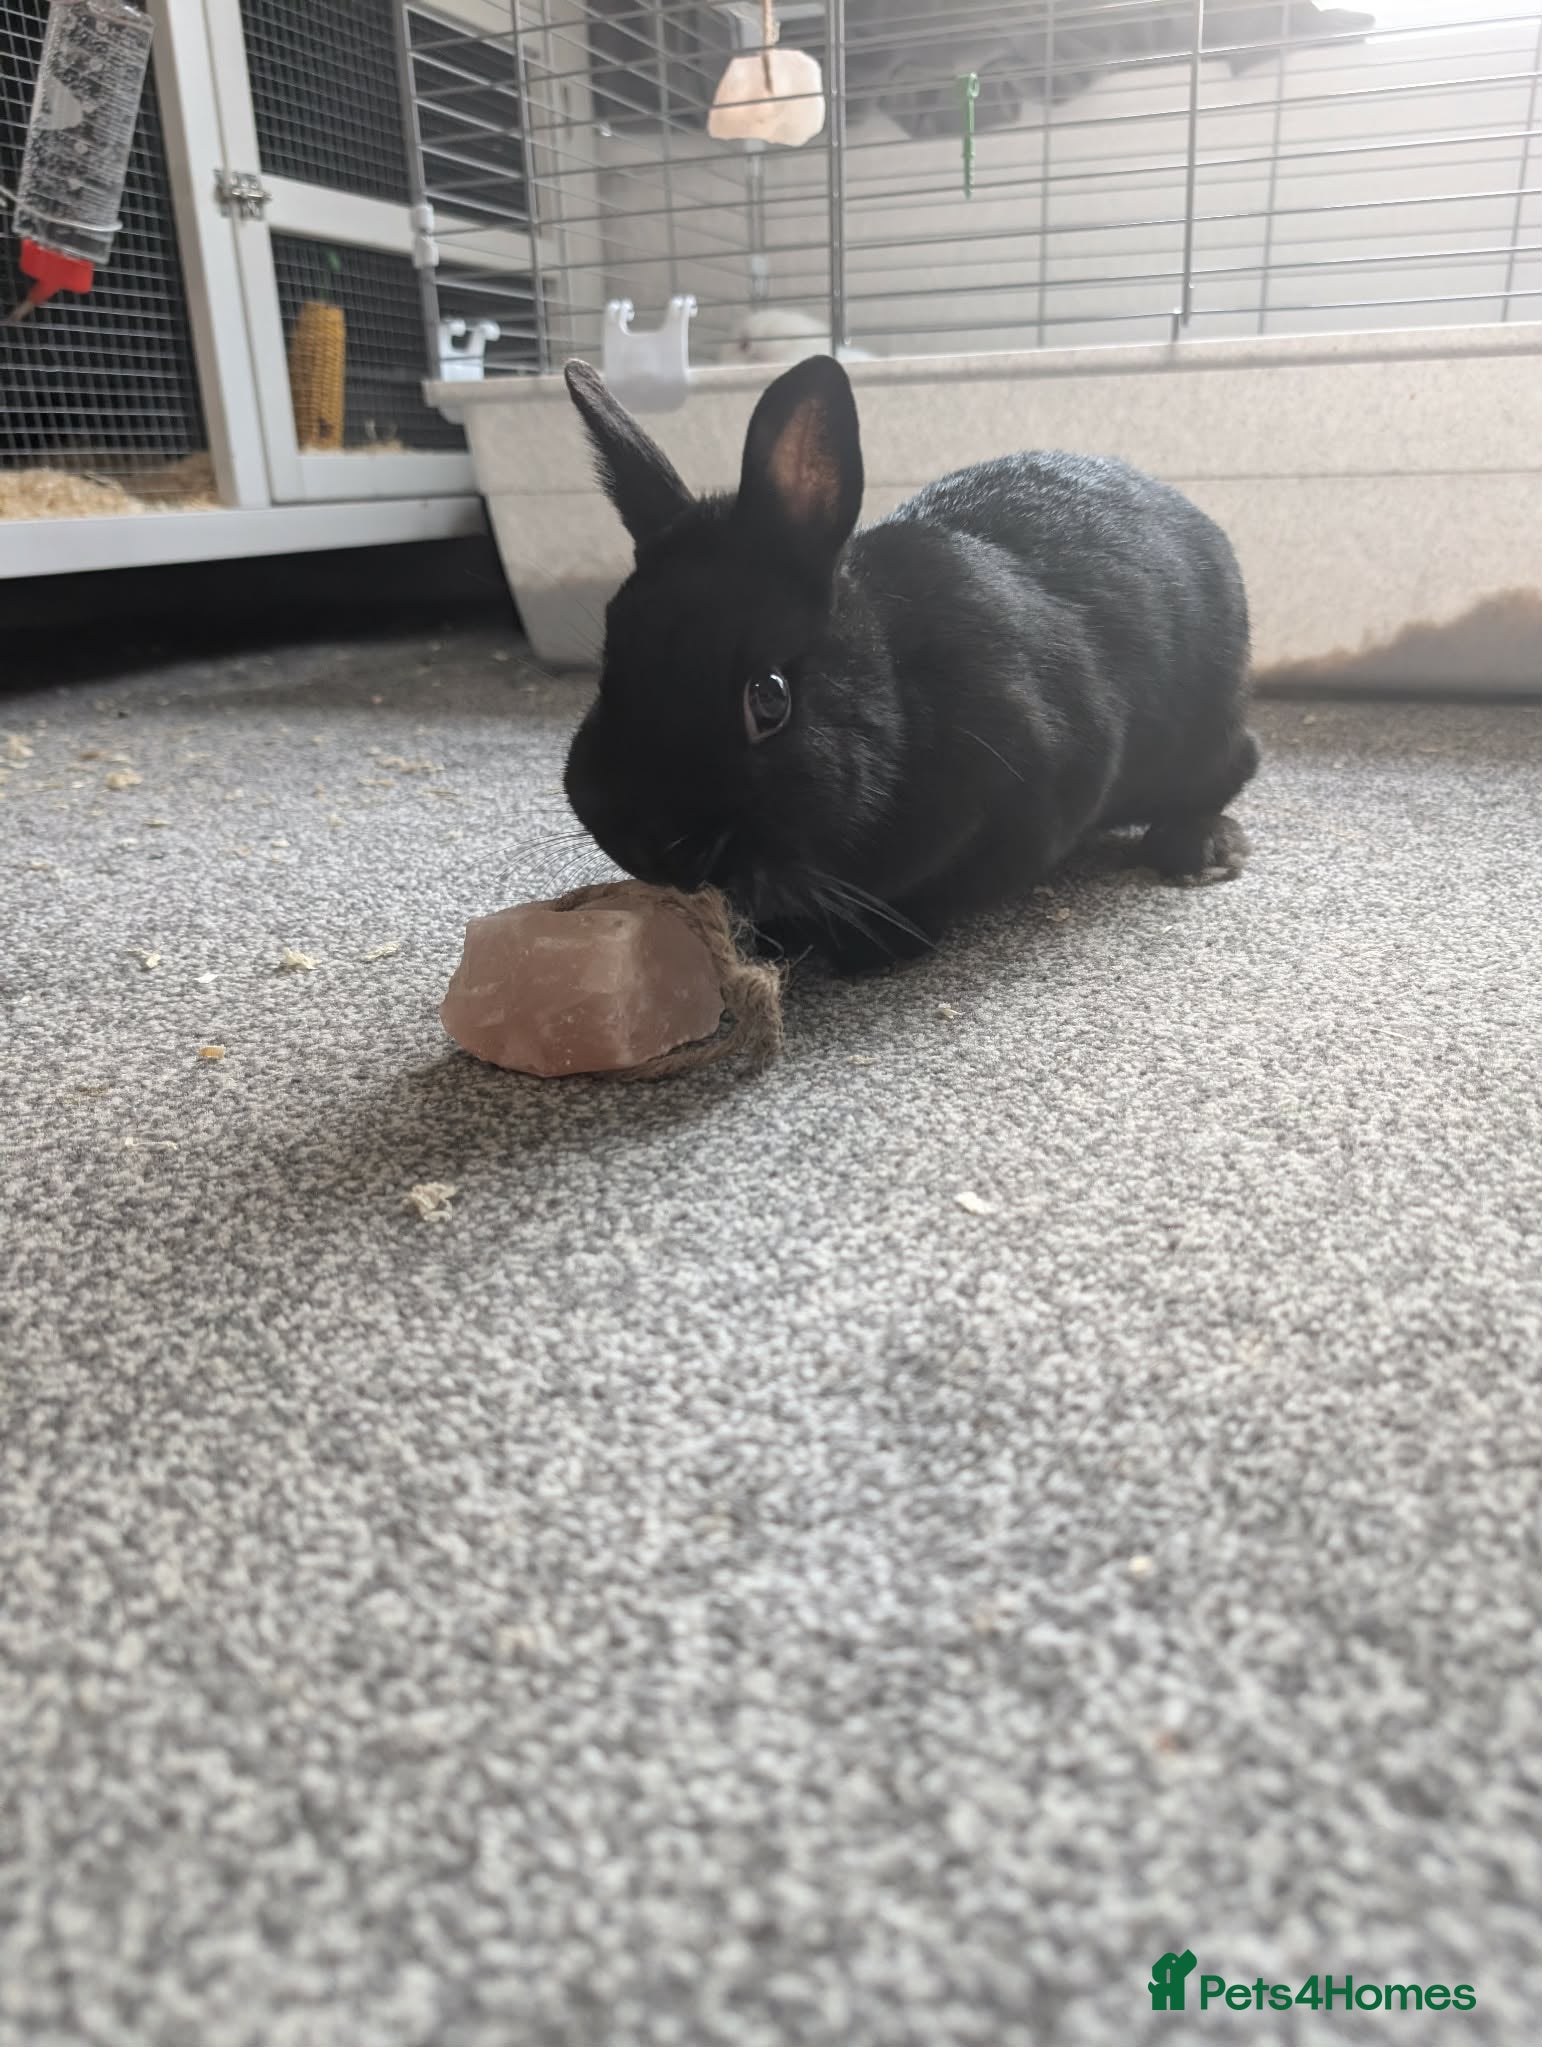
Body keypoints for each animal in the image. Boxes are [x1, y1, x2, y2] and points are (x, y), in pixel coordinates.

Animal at [561, 353, 1258, 973]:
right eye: (606, 669)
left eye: (770, 697)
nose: (652, 846)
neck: (899, 691)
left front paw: (866, 949)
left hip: (1199, 738)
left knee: (1234, 770)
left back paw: (1198, 848)